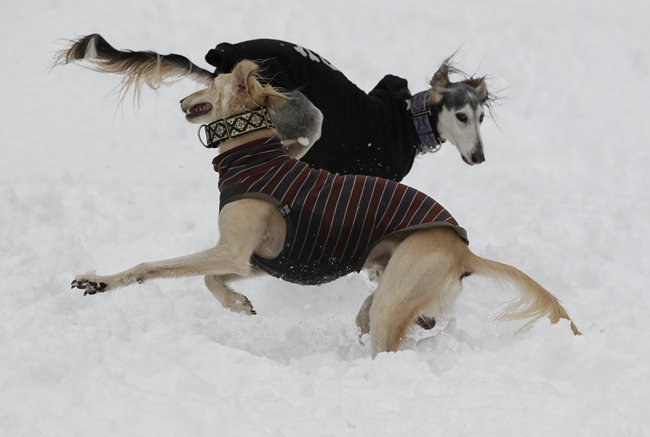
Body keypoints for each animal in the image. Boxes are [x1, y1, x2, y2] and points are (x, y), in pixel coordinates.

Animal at [71, 59, 576, 356]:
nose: (180, 98)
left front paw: (98, 281)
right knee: (381, 322)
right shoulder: (256, 259)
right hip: (386, 295)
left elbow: (153, 266)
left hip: (394, 298)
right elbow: (213, 280)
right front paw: (237, 305)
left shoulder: (233, 250)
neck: (254, 153)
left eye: (211, 85)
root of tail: (463, 250)